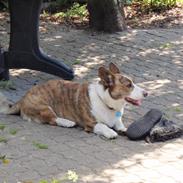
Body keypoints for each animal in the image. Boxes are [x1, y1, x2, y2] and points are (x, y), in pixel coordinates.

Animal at [0, 63, 148, 139]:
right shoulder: (90, 123)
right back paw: (67, 122)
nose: (146, 93)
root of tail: (23, 98)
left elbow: (120, 124)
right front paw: (111, 132)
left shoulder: (117, 119)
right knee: (52, 119)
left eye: (133, 82)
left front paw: (123, 129)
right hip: (44, 106)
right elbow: (102, 126)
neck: (107, 102)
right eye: (128, 85)